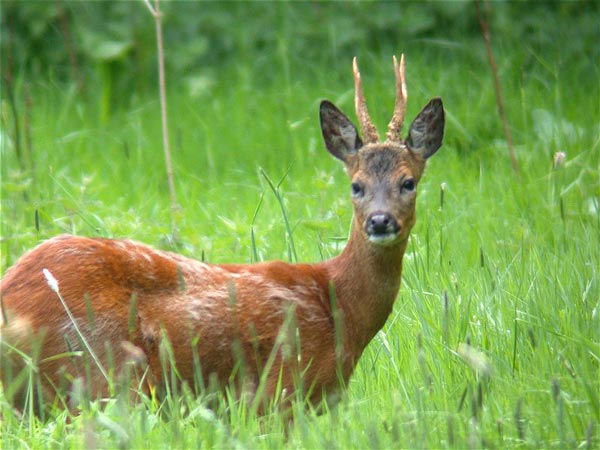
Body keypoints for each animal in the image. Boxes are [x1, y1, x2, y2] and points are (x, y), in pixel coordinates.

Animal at [0, 55, 442, 412]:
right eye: (356, 185)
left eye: (408, 182)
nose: (380, 221)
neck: (340, 307)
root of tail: (11, 300)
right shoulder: (283, 390)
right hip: (99, 373)